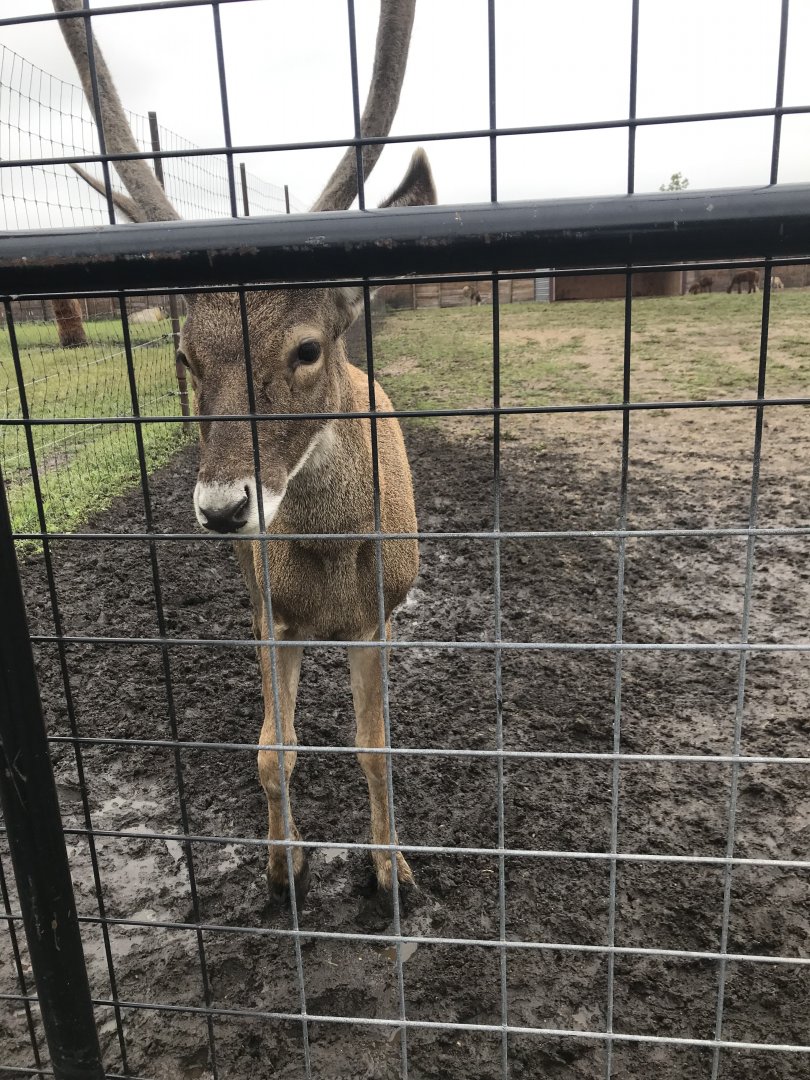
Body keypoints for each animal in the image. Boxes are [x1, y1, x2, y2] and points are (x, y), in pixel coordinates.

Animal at [54, 0, 435, 909]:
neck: (327, 563)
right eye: (187, 356)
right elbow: (273, 749)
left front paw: (393, 874)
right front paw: (280, 867)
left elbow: (376, 750)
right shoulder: (270, 610)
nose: (224, 507)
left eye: (305, 349)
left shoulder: (377, 614)